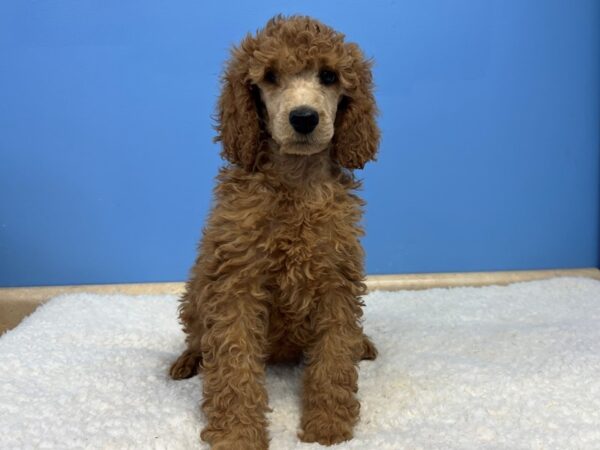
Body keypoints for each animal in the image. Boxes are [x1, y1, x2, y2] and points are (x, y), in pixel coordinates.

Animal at [170, 14, 380, 450]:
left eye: (329, 76)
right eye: (269, 77)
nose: (304, 118)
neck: (295, 183)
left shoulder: (336, 280)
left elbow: (334, 355)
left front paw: (328, 425)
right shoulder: (235, 284)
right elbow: (233, 365)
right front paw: (237, 434)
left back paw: (362, 344)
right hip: (196, 292)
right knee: (197, 335)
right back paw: (188, 360)